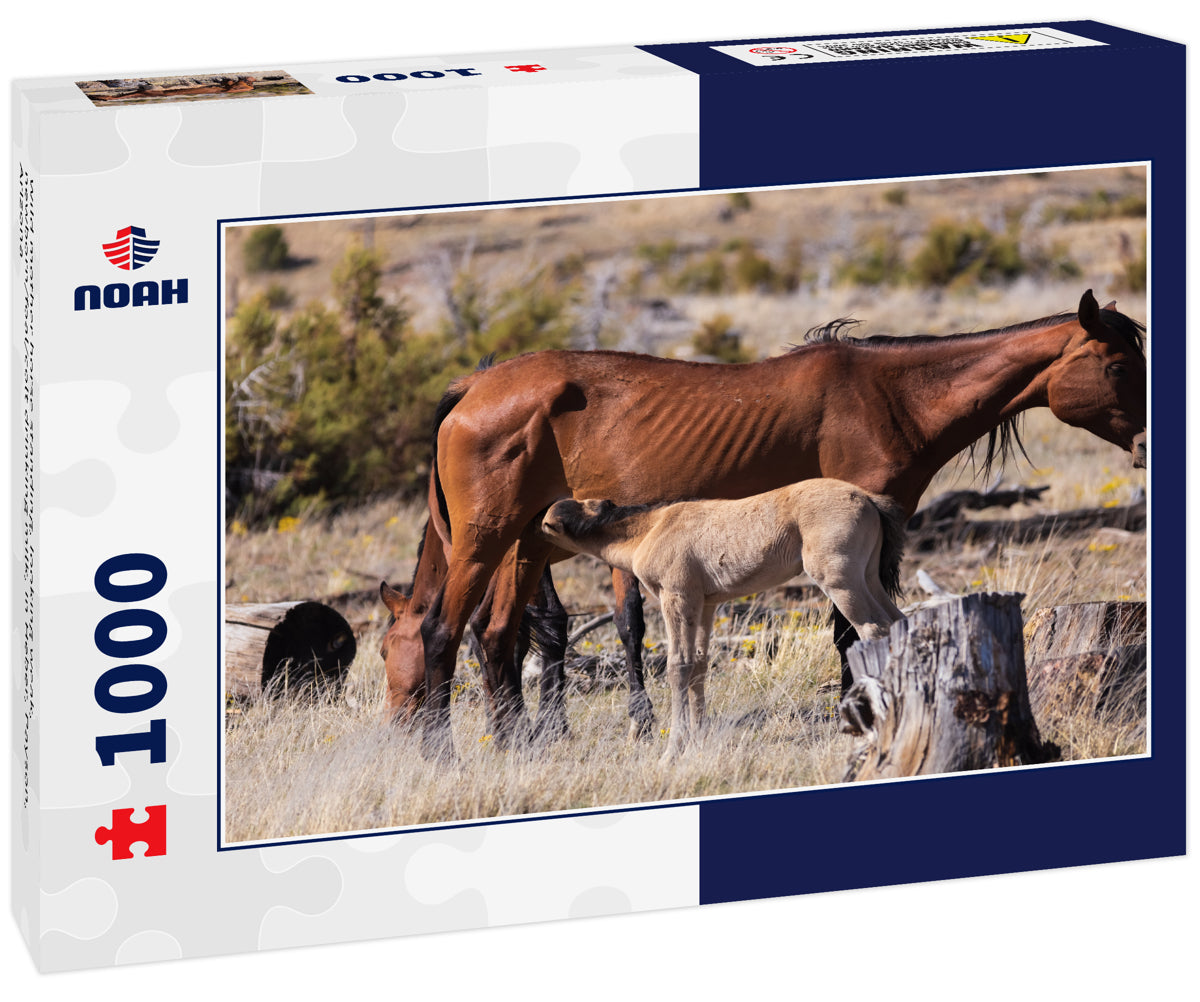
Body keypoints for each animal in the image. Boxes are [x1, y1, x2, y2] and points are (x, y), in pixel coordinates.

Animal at [541, 482, 907, 758]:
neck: (650, 530)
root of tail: (868, 498)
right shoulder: (705, 605)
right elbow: (700, 665)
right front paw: (697, 741)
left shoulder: (676, 597)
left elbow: (678, 666)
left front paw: (673, 750)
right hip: (868, 578)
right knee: (896, 623)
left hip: (841, 583)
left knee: (872, 629)